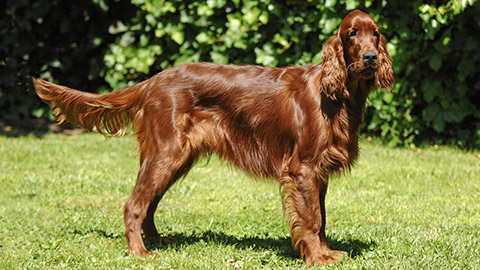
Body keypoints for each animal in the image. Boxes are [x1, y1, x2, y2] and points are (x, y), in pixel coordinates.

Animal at [33, 9, 394, 264]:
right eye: (351, 34)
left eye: (375, 34)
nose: (371, 57)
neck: (338, 94)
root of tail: (152, 81)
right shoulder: (303, 169)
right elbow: (313, 218)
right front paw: (318, 257)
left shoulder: (319, 173)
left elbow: (321, 216)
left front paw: (326, 251)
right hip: (166, 153)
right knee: (134, 204)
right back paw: (140, 252)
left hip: (176, 158)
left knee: (149, 204)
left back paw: (158, 240)